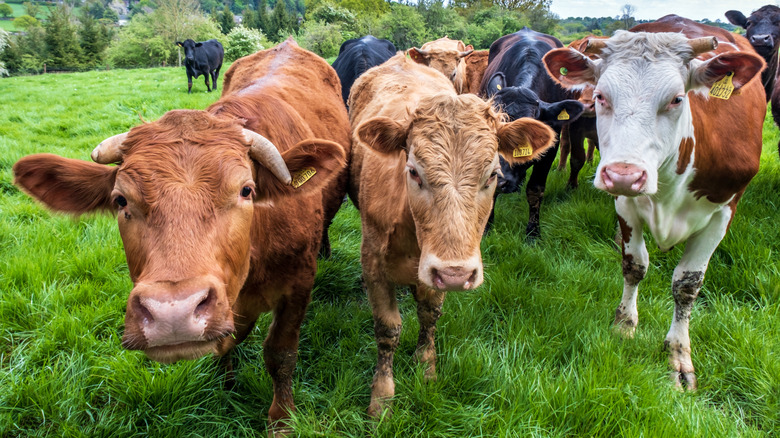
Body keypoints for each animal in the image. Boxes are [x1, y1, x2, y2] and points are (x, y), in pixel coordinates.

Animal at [13, 39, 351, 434]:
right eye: (120, 200)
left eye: (246, 190)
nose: (172, 314)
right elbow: (230, 338)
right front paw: (225, 382)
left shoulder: (298, 285)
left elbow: (280, 353)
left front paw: (281, 420)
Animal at [347, 52, 555, 417]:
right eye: (414, 171)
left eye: (492, 174)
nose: (455, 274)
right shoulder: (373, 262)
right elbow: (387, 328)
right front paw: (381, 399)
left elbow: (429, 315)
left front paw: (426, 368)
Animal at [543, 15, 765, 390]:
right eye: (601, 95)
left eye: (677, 99)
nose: (624, 174)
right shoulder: (625, 204)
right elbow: (634, 265)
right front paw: (624, 326)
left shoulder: (723, 211)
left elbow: (687, 285)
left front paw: (679, 356)